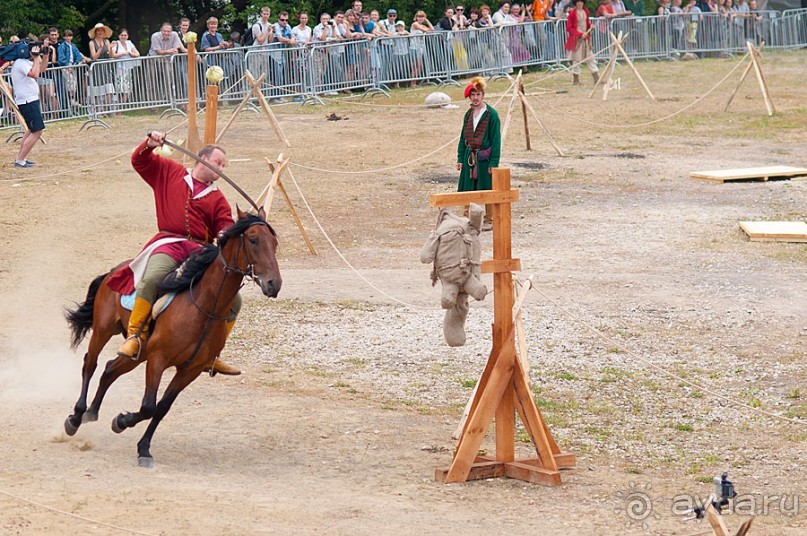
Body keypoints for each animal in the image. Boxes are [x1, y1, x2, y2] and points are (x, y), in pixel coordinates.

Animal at [64, 207, 282, 466]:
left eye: (275, 243)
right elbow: (148, 406)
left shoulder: (190, 369)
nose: (274, 284)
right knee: (91, 363)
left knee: (109, 370)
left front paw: (142, 446)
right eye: (253, 239)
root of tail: (115, 270)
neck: (203, 304)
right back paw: (76, 416)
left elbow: (161, 408)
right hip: (103, 330)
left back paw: (91, 413)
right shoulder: (158, 359)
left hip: (140, 352)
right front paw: (122, 421)